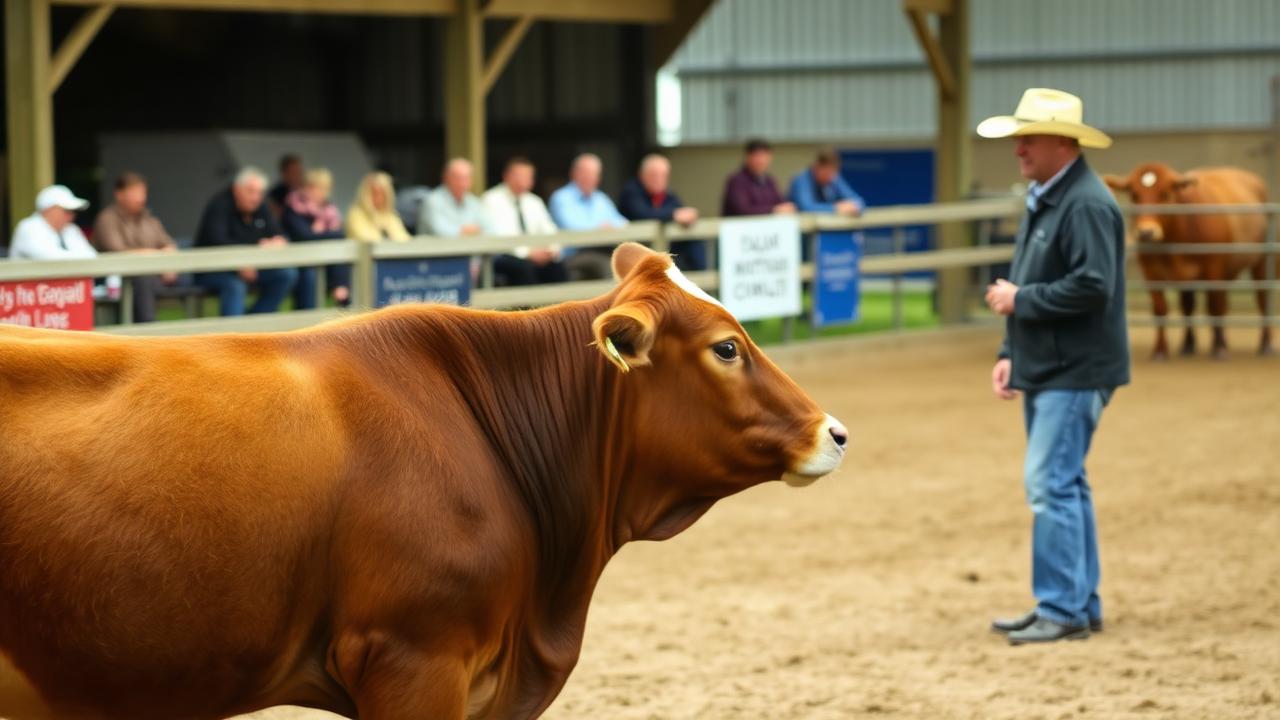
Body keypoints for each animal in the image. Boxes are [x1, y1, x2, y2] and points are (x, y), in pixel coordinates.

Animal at [1103, 163, 1273, 359]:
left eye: (1165, 194)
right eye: (1134, 195)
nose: (1146, 232)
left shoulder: (1214, 268)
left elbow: (1214, 306)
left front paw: (1219, 348)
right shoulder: (1151, 271)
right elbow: (1161, 308)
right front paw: (1160, 350)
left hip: (1260, 262)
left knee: (1261, 299)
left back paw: (1265, 344)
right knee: (1192, 305)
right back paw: (1189, 345)